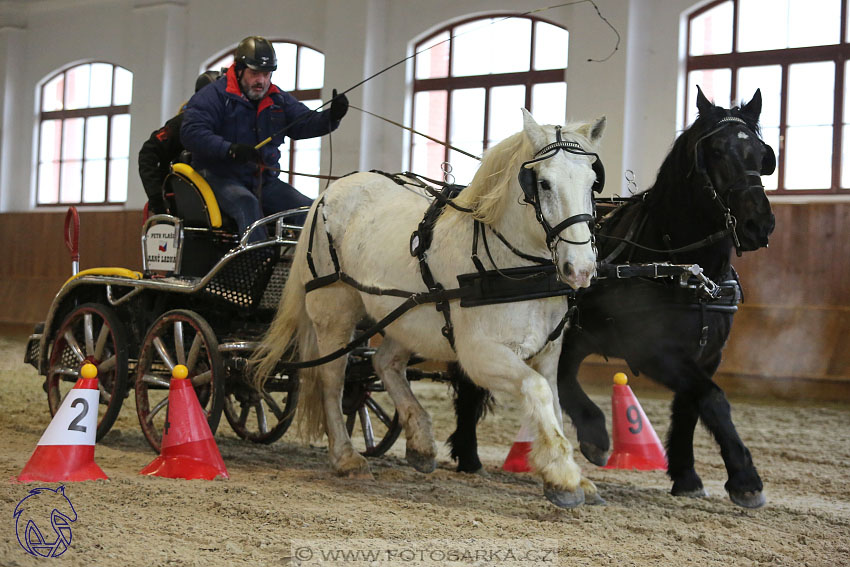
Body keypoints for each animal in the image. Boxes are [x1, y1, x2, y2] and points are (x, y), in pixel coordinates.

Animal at [250, 108, 604, 508]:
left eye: (593, 182)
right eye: (542, 183)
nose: (581, 269)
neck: (511, 266)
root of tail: (327, 193)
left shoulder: (548, 349)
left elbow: (554, 402)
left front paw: (574, 476)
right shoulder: (480, 354)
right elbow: (538, 390)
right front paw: (564, 477)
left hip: (406, 316)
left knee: (384, 362)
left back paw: (419, 441)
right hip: (334, 309)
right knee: (332, 378)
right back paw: (346, 457)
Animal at [450, 89, 776, 510]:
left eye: (761, 155)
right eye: (717, 151)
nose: (759, 225)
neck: (686, 269)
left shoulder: (707, 354)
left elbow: (690, 405)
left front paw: (686, 476)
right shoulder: (654, 351)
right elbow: (713, 398)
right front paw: (745, 479)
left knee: (562, 375)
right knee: (473, 382)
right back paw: (471, 454)